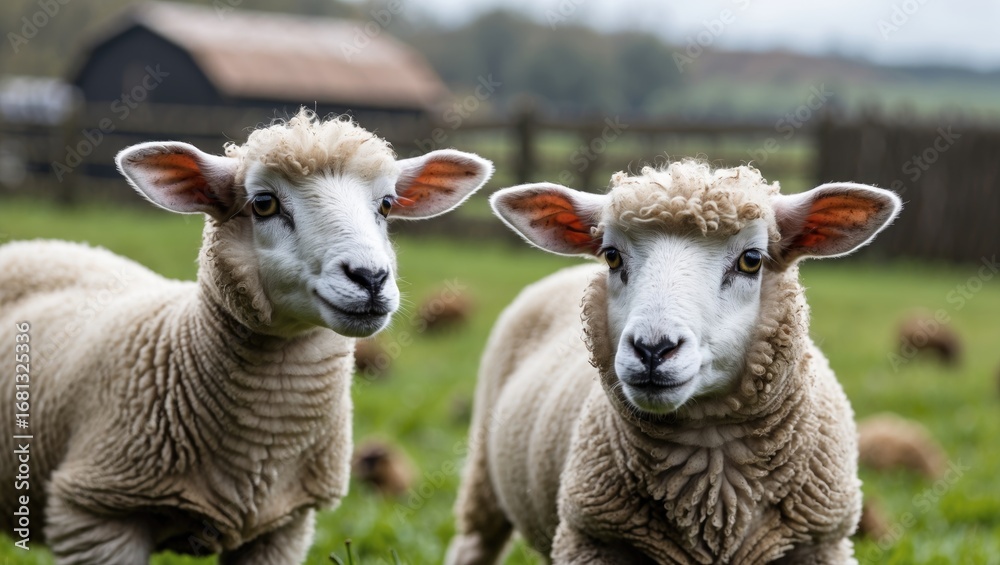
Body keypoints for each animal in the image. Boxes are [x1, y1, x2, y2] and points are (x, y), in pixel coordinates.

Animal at [0, 108, 492, 564]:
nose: (370, 277)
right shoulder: (94, 515)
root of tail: (42, 244)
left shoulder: (284, 526)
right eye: (264, 203)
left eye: (387, 204)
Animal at [447, 161, 901, 564]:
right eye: (611, 256)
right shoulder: (593, 539)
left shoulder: (820, 544)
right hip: (484, 479)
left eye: (751, 260)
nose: (653, 349)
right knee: (472, 545)